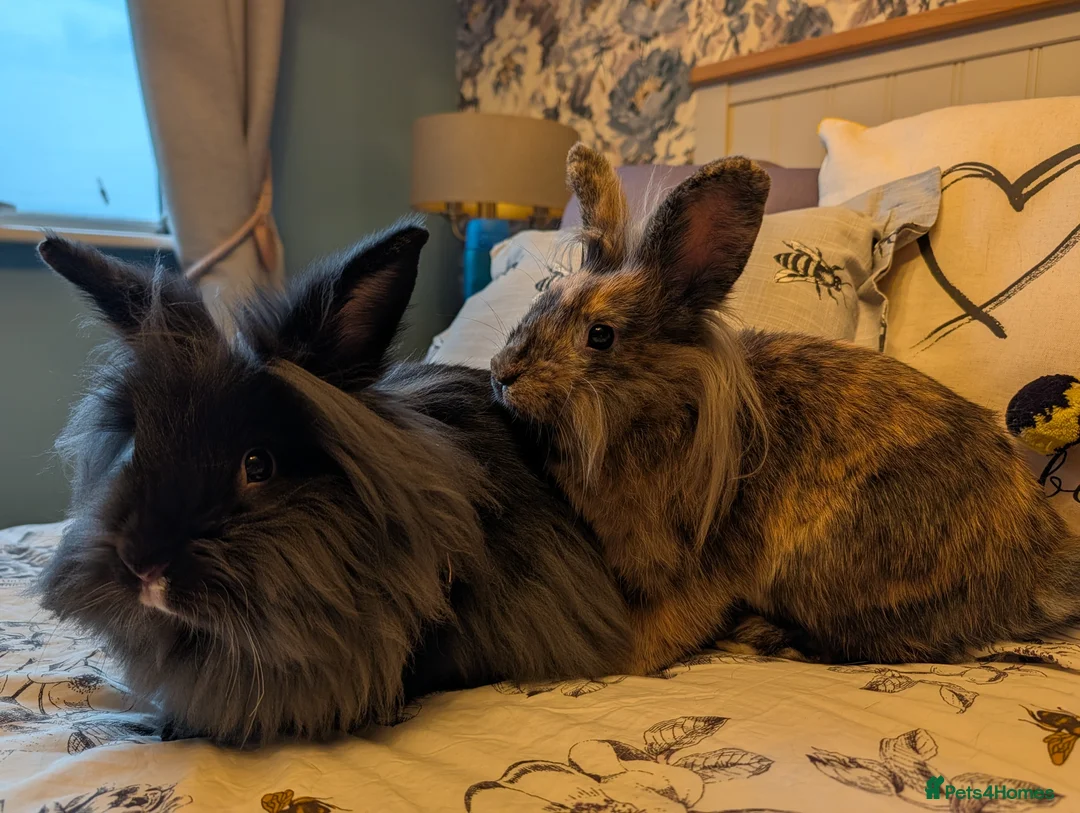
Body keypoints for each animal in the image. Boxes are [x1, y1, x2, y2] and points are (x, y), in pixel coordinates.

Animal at [490, 143, 1080, 674]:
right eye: (541, 302)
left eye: (601, 335)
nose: (501, 373)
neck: (661, 410)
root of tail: (1037, 568)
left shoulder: (692, 571)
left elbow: (664, 630)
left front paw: (627, 659)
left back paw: (762, 637)